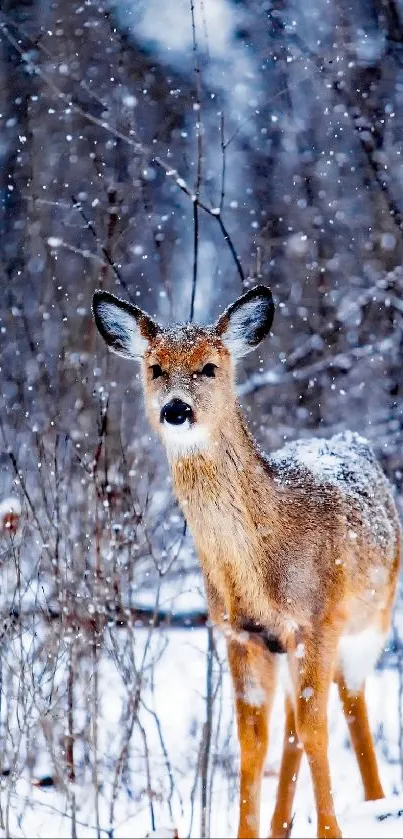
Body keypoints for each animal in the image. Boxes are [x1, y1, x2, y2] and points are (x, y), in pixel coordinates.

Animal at [93, 286, 402, 836]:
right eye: (155, 368)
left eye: (210, 367)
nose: (176, 409)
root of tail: (351, 440)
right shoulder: (241, 634)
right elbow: (253, 742)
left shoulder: (318, 620)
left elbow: (318, 729)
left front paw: (330, 830)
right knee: (293, 725)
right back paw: (283, 823)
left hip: (373, 617)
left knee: (350, 702)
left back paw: (375, 799)